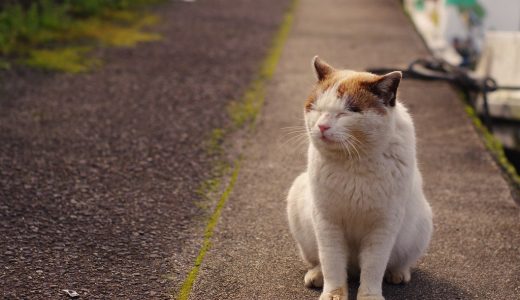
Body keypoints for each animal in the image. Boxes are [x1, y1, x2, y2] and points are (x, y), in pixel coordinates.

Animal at [286, 56, 432, 300]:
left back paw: (397, 273)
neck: (354, 160)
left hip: (421, 223)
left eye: (347, 112)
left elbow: (373, 267)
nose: (322, 126)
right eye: (316, 108)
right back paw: (317, 275)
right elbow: (332, 264)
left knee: (396, 263)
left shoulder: (383, 226)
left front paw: (369, 295)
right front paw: (333, 294)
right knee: (323, 262)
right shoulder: (327, 222)